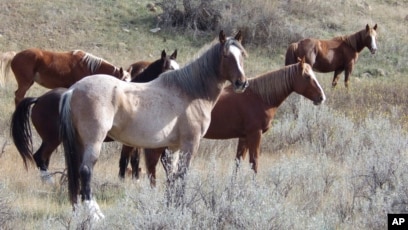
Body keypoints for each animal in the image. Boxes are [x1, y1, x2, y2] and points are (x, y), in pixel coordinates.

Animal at [9, 49, 178, 182]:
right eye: (169, 69)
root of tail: (39, 99)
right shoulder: (131, 142)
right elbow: (127, 161)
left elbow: (133, 161)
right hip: (53, 139)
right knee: (40, 157)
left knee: (43, 159)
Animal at [57, 30, 249, 219]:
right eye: (226, 55)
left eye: (242, 55)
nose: (242, 83)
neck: (190, 92)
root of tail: (73, 90)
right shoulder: (190, 143)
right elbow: (182, 176)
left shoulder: (173, 147)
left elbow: (172, 177)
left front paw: (171, 209)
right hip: (94, 141)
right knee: (85, 171)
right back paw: (95, 214)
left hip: (79, 142)